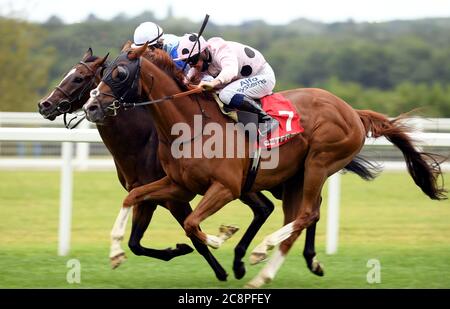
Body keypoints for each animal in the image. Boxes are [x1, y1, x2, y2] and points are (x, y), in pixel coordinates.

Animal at [84, 44, 446, 286]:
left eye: (119, 73)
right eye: (104, 71)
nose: (90, 106)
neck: (190, 125)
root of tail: (352, 112)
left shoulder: (225, 188)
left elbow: (192, 224)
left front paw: (222, 236)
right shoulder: (177, 184)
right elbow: (133, 197)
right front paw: (115, 252)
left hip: (320, 162)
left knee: (306, 214)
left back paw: (262, 252)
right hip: (296, 177)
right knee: (299, 216)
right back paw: (269, 269)